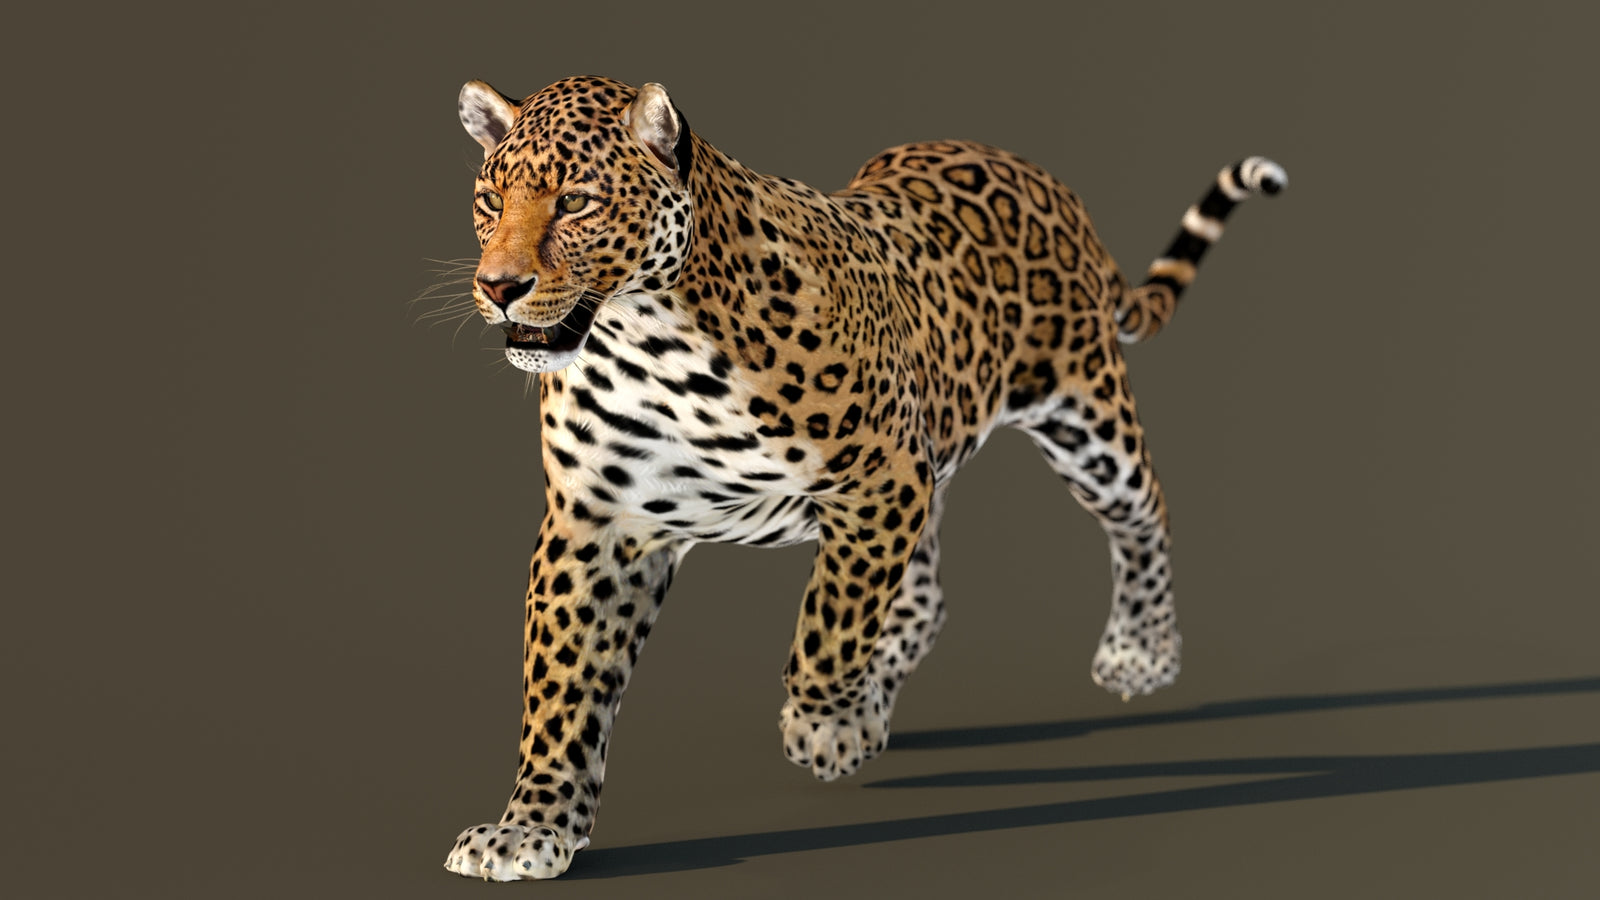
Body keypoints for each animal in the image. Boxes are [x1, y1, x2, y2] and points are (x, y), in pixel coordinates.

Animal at [438, 74, 1285, 880]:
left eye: (576, 201)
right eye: (490, 201)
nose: (499, 287)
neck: (646, 341)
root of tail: (1035, 171)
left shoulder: (880, 478)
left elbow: (831, 622)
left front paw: (827, 726)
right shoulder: (597, 525)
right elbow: (562, 690)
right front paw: (532, 829)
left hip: (1086, 419)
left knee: (1144, 512)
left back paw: (1142, 649)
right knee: (926, 594)